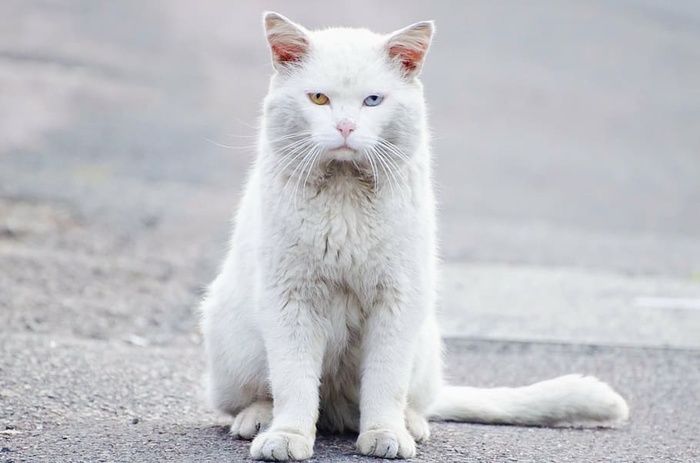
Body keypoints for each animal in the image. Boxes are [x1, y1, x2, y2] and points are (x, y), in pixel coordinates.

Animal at [200, 10, 632, 460]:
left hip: (423, 341)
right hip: (235, 341)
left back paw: (410, 424)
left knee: (407, 399)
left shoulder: (398, 298)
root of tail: (334, 410)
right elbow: (294, 381)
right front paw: (287, 437)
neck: (345, 189)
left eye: (373, 100)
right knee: (254, 397)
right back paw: (258, 420)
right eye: (319, 99)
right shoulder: (291, 299)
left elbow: (386, 382)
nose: (345, 126)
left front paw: (385, 434)